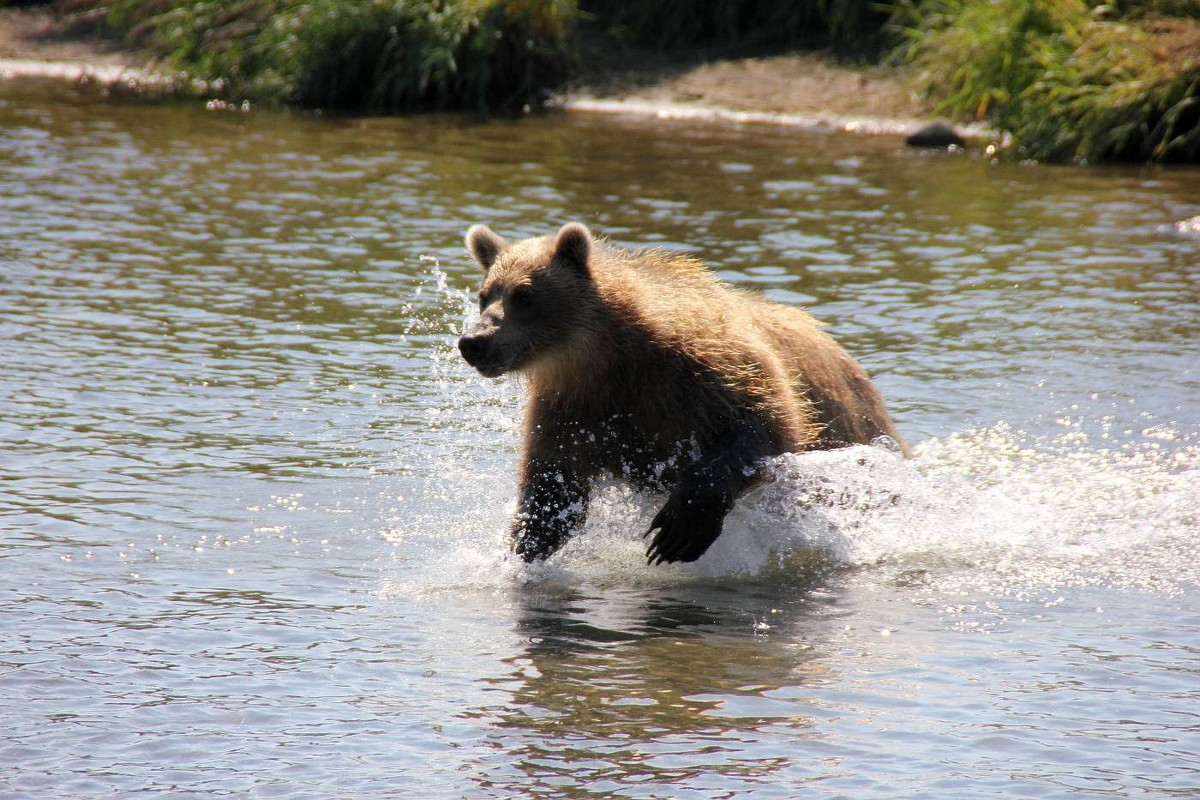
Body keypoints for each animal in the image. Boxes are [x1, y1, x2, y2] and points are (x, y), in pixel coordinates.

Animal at [458, 221, 907, 566]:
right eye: (484, 294)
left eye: (524, 295)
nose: (474, 341)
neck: (607, 357)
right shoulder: (573, 408)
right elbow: (553, 487)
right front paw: (522, 549)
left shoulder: (705, 369)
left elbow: (762, 426)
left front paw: (678, 530)